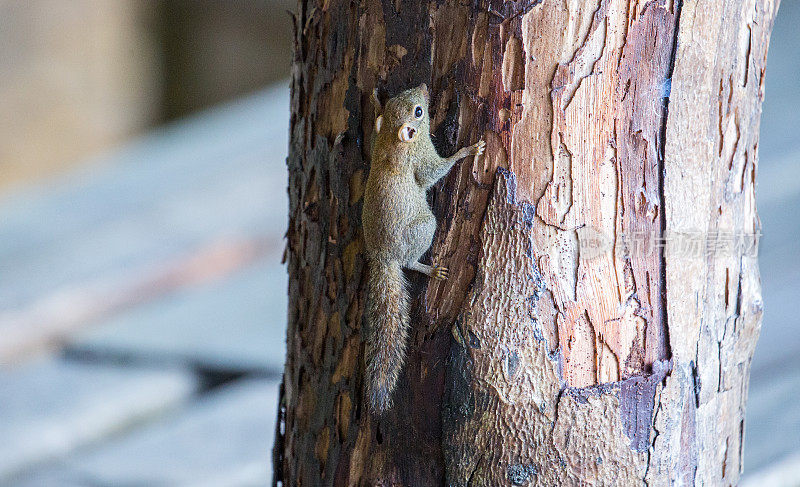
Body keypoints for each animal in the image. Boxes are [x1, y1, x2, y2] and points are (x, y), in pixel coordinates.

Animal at [364, 85, 488, 416]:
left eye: (401, 99)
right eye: (419, 112)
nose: (423, 87)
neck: (391, 142)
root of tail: (384, 257)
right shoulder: (421, 161)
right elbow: (435, 172)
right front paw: (467, 152)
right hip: (423, 228)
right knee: (409, 262)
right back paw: (431, 269)